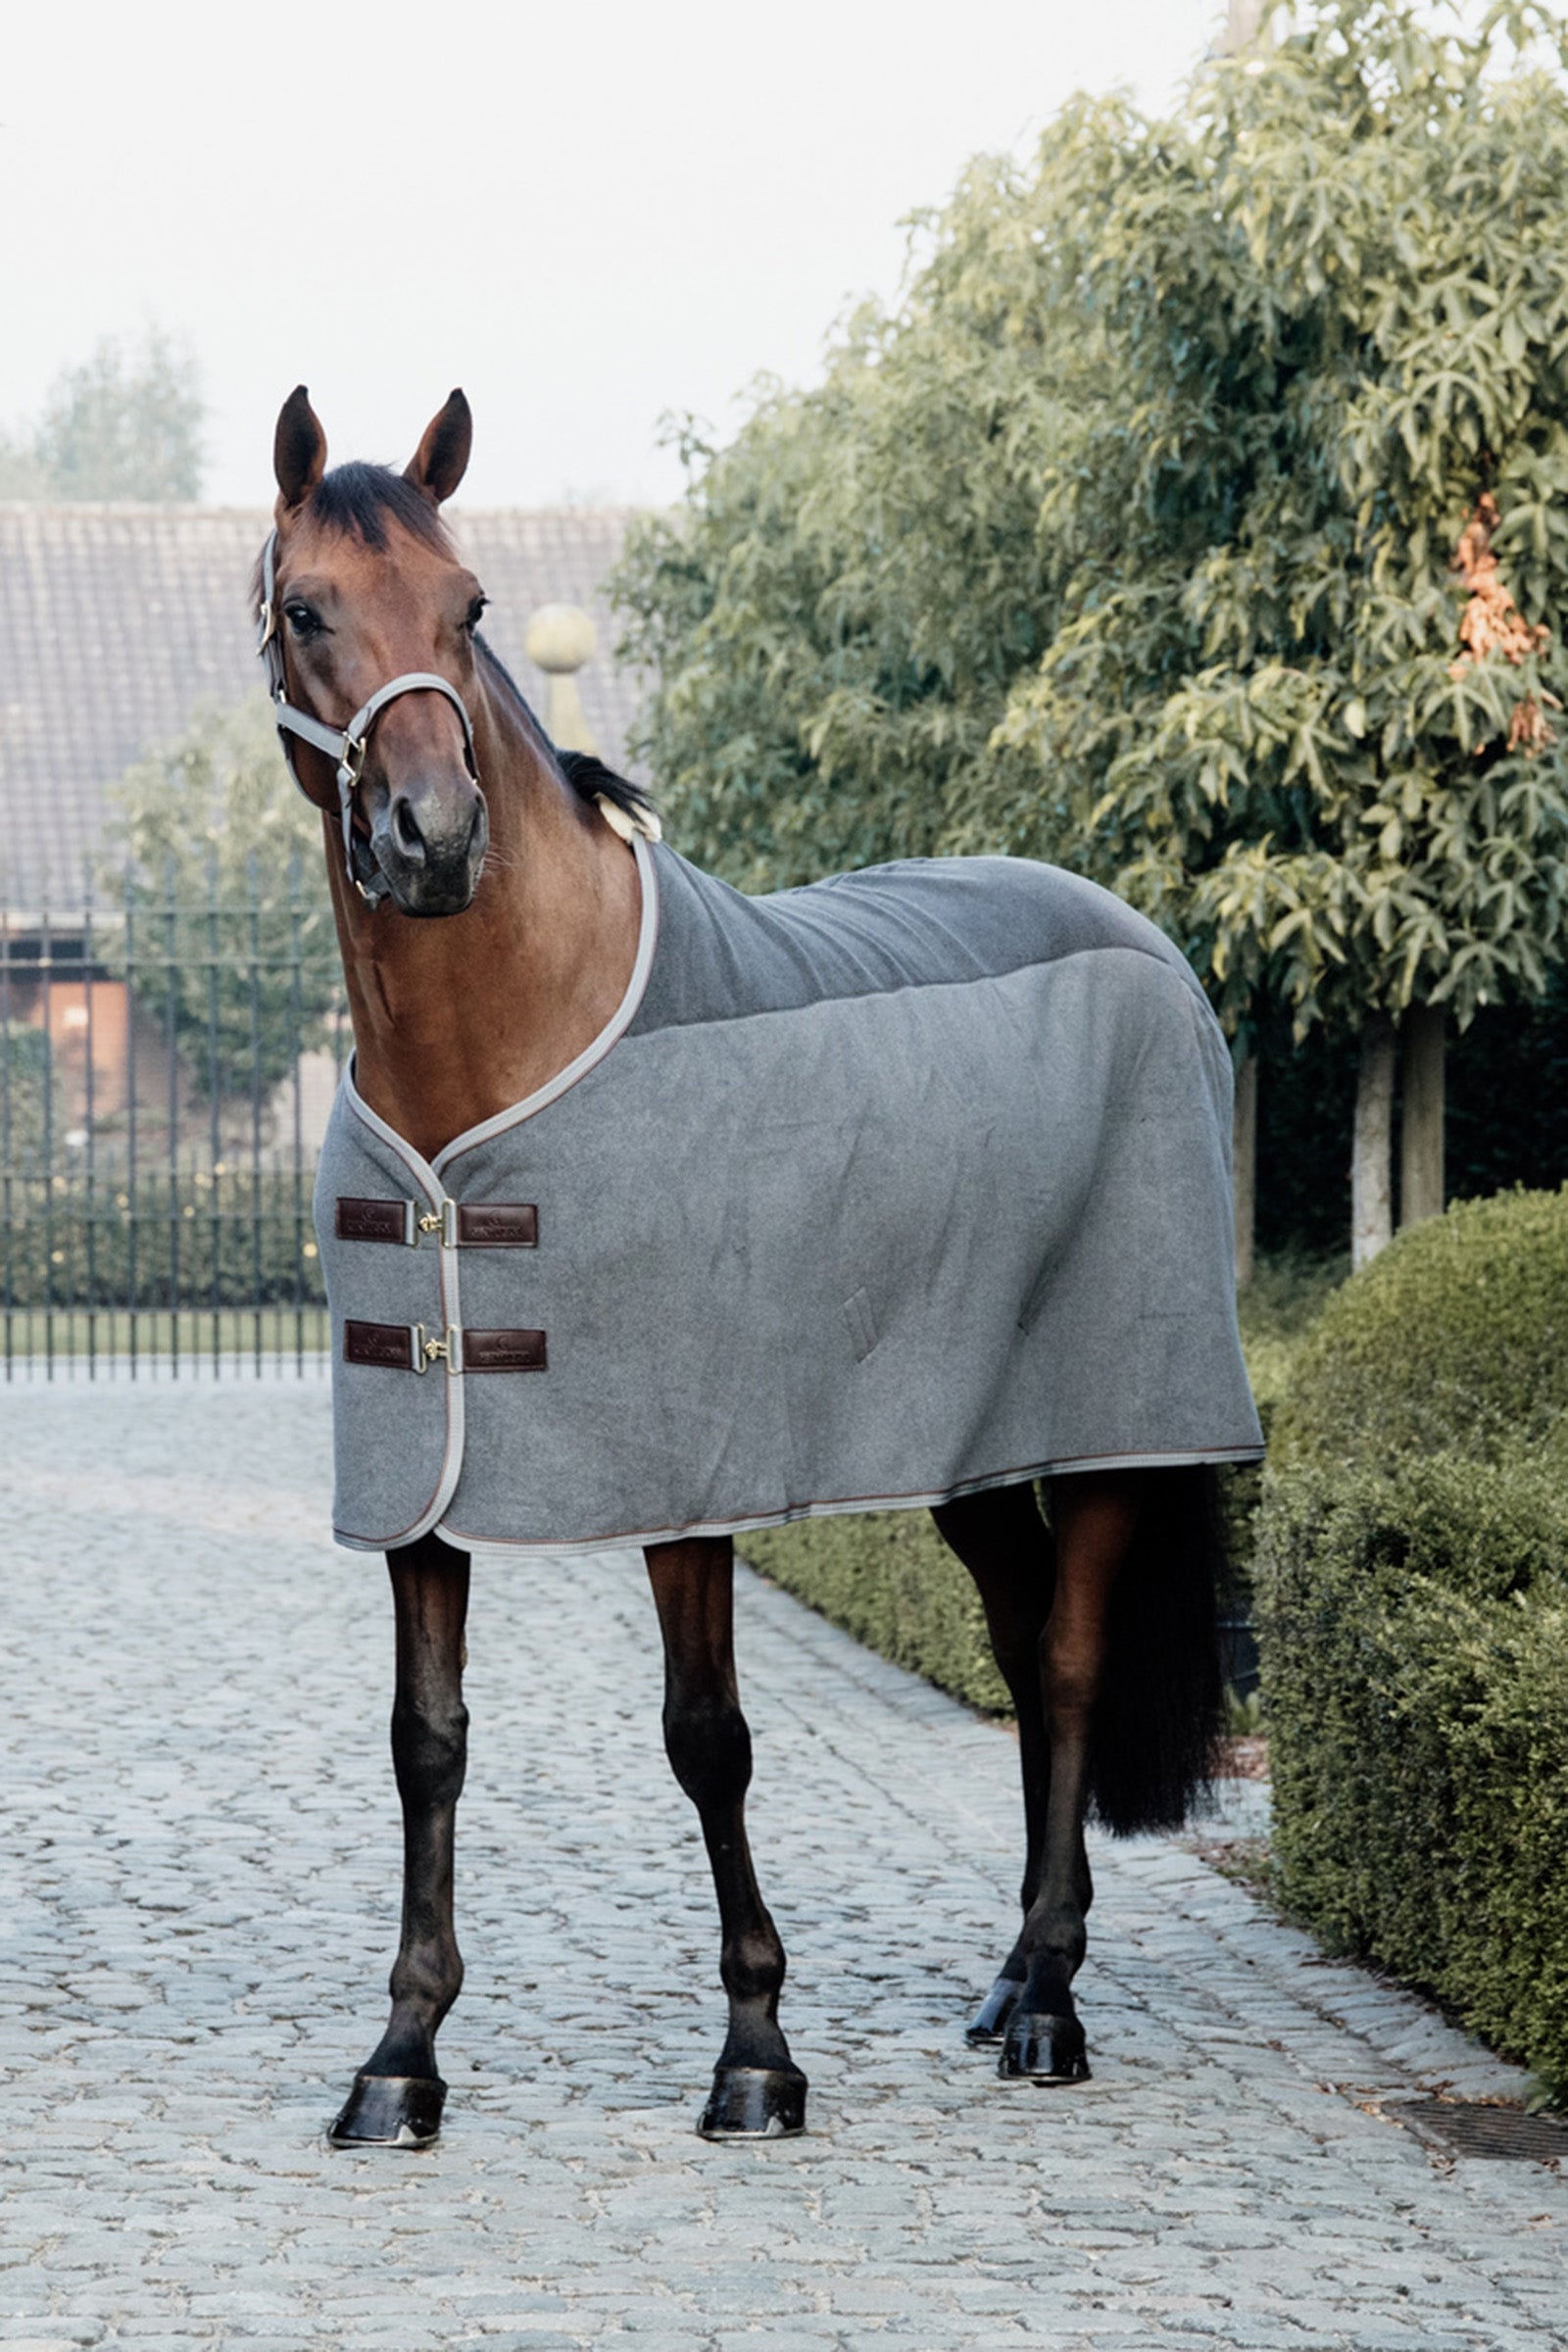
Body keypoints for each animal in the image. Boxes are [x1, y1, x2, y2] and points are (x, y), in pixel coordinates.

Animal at [257, 387, 1262, 2149]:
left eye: (469, 606)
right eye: (308, 607)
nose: (434, 838)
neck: (509, 1047)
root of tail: (1142, 939)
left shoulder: (691, 1478)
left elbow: (706, 1738)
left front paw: (757, 2053)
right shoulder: (417, 1476)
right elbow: (426, 1743)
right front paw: (401, 2057)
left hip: (1112, 1429)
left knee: (1069, 1668)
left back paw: (1051, 2008)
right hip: (969, 1446)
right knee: (1018, 1651)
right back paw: (1012, 1972)